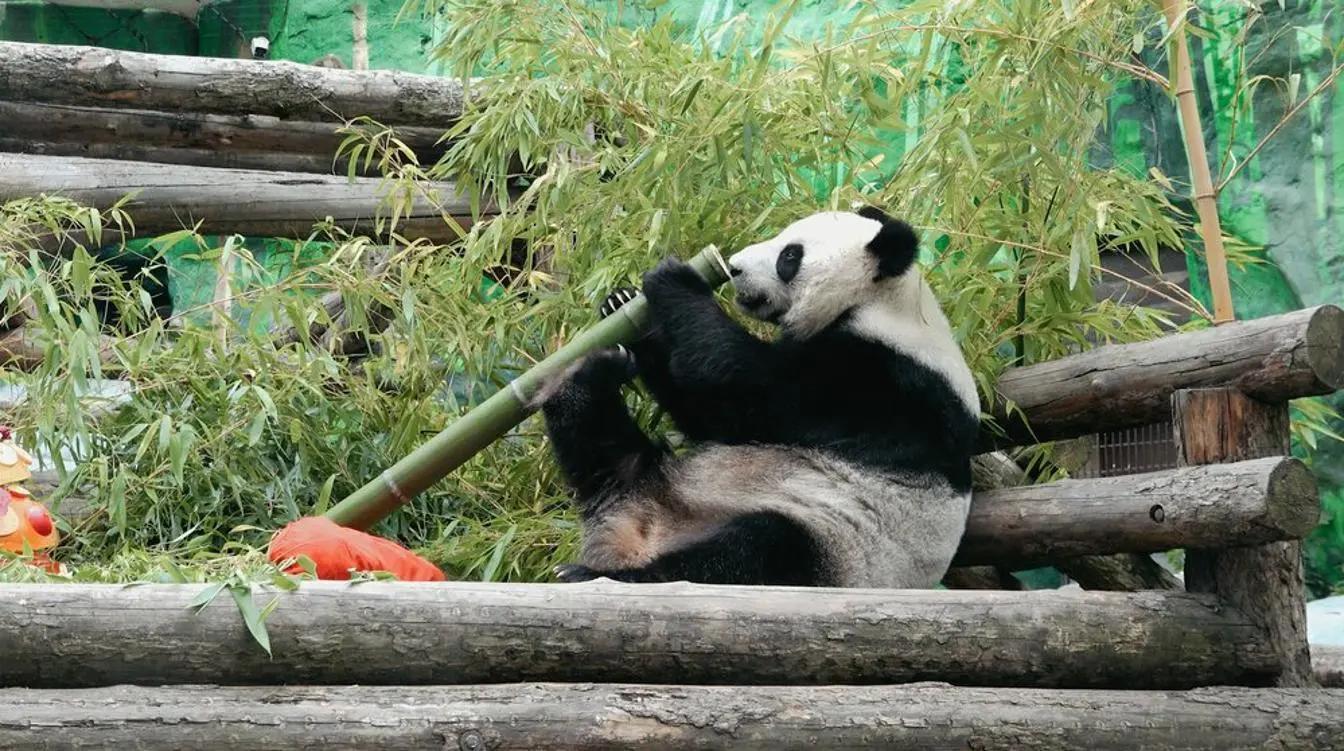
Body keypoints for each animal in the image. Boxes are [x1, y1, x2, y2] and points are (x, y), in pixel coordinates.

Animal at [534, 205, 978, 588]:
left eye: (789, 255)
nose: (734, 267)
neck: (882, 303)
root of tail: (639, 532)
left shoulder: (881, 383)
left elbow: (746, 391)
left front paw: (674, 279)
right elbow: (707, 413)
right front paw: (621, 303)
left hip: (831, 544)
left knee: (751, 553)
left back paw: (602, 575)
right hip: (650, 481)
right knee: (607, 453)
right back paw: (589, 378)